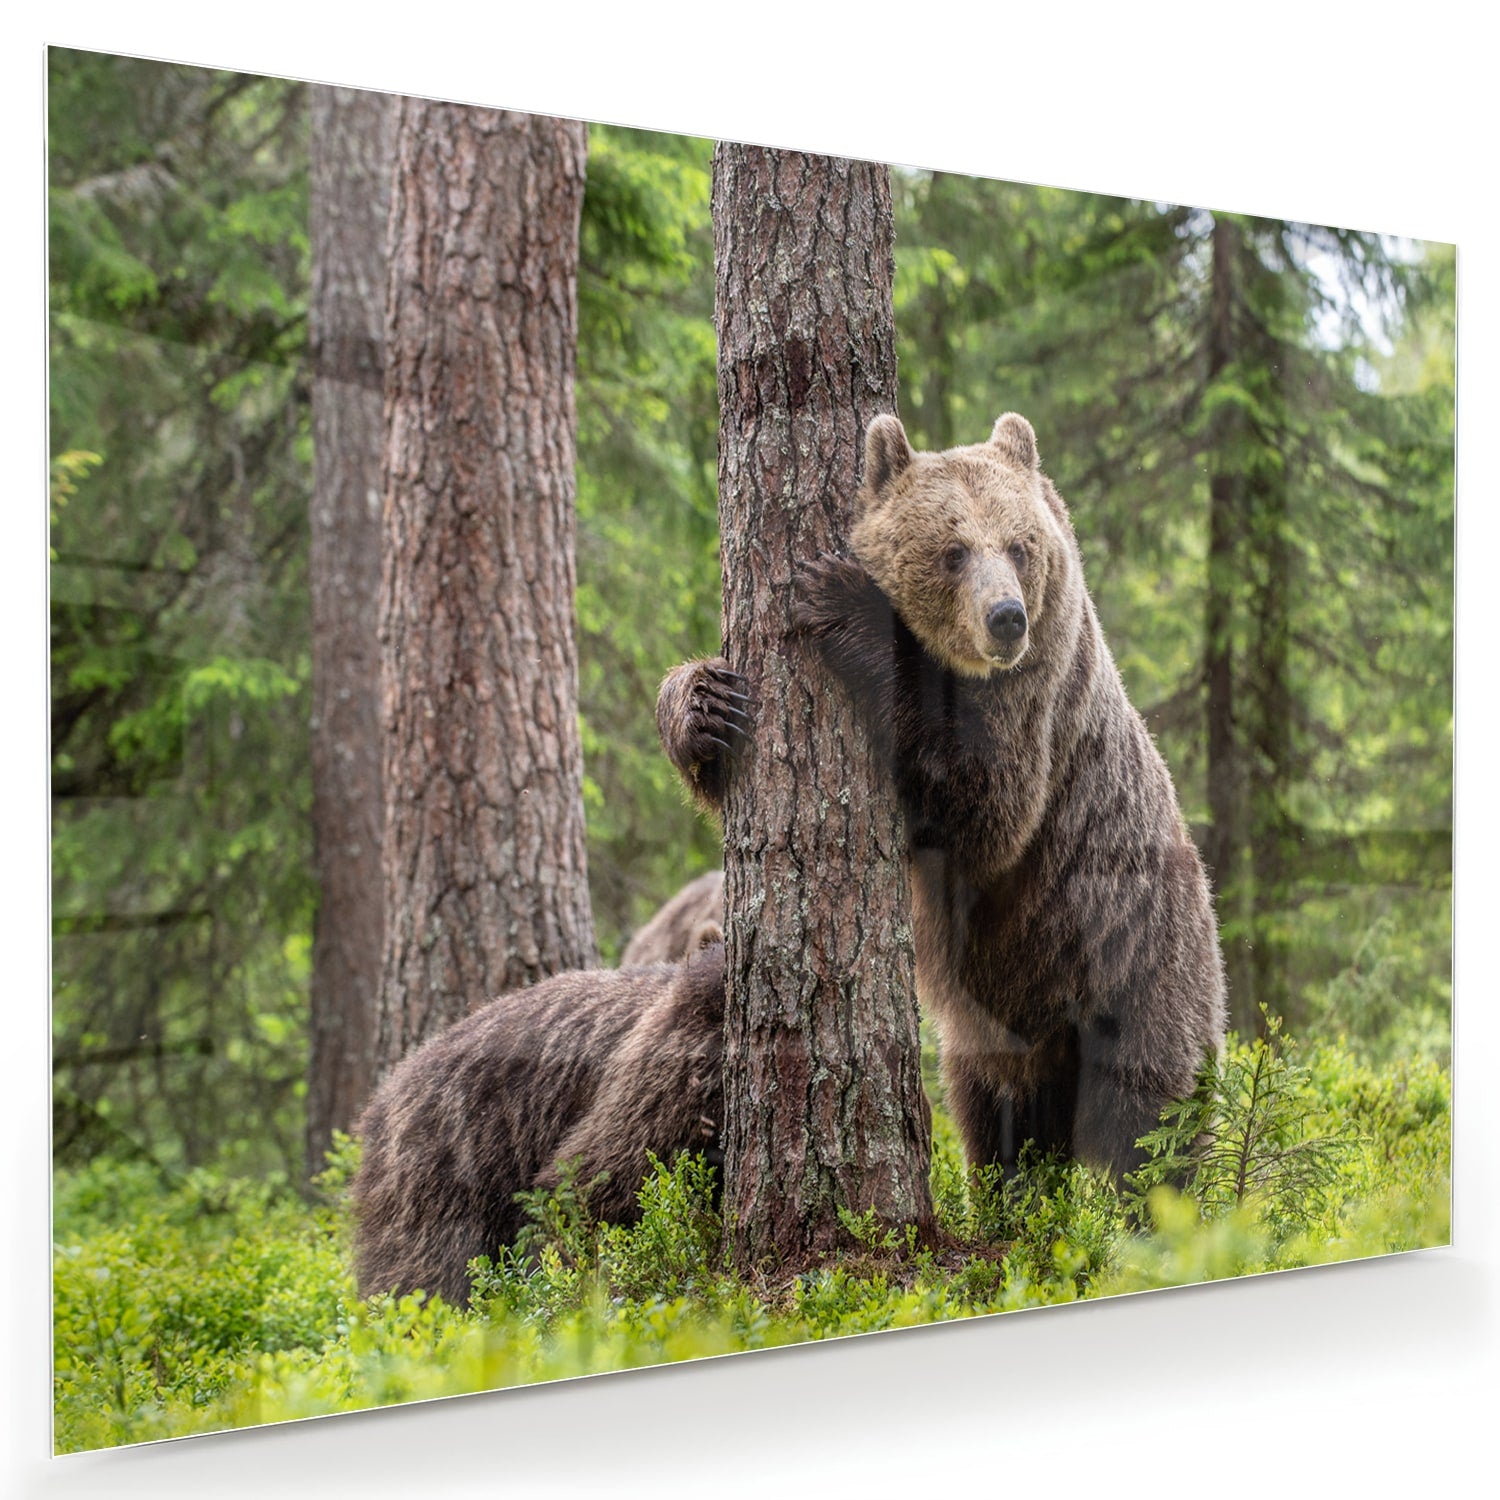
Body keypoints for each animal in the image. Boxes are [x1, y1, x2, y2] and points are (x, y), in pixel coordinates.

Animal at [653, 411, 1226, 1182]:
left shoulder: (1035, 709)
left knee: (1152, 1127)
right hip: (1002, 1031)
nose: (1006, 617)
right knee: (1002, 1125)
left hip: (1139, 968)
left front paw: (845, 599)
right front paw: (707, 706)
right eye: (953, 551)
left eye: (1018, 546)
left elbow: (984, 808)